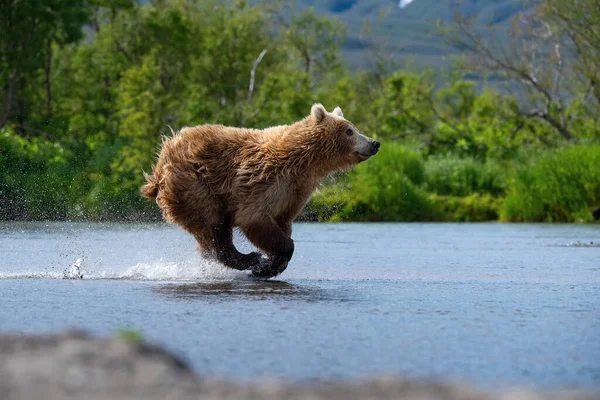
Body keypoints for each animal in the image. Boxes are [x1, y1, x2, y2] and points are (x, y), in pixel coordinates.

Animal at [139, 103, 380, 278]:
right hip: (195, 185)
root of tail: (162, 159)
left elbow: (282, 225)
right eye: (349, 131)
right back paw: (249, 258)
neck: (304, 164)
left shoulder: (294, 194)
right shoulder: (263, 181)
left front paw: (271, 263)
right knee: (214, 226)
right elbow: (254, 218)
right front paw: (265, 264)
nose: (374, 143)